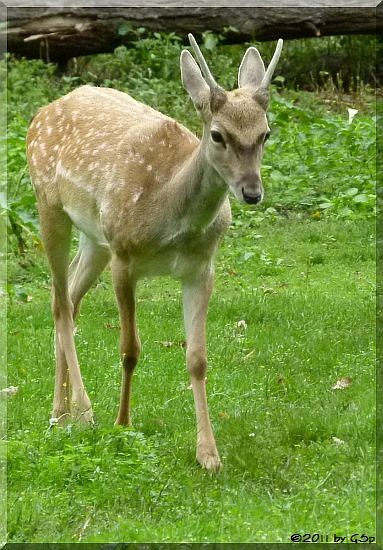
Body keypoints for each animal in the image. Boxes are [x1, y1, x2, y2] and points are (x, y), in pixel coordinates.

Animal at [27, 35, 284, 474]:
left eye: (265, 133)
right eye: (218, 135)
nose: (251, 192)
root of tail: (42, 112)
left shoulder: (201, 268)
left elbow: (197, 358)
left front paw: (208, 454)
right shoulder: (124, 257)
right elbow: (130, 349)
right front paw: (122, 423)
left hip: (95, 238)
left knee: (69, 300)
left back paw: (61, 411)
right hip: (51, 207)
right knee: (60, 304)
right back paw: (79, 411)